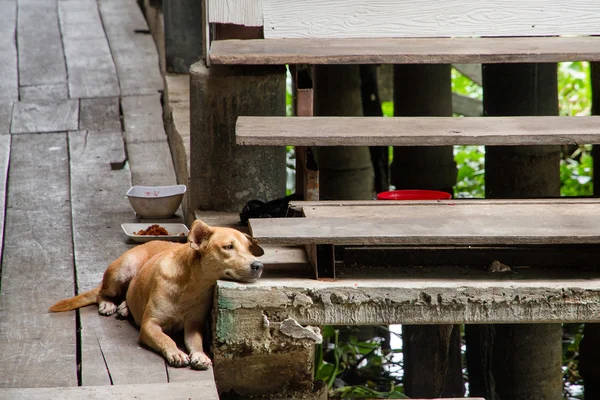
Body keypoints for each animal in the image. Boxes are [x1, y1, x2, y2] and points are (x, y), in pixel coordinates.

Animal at [50, 220, 266, 370]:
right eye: (228, 247)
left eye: (249, 248)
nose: (259, 265)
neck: (191, 285)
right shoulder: (150, 325)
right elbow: (165, 339)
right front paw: (175, 353)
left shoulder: (193, 325)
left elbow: (196, 342)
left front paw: (199, 355)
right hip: (122, 270)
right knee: (102, 293)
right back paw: (108, 304)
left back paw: (125, 307)